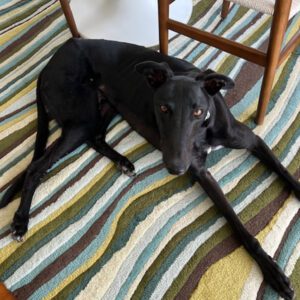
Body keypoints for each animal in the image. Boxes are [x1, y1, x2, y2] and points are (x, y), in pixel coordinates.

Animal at [1, 37, 298, 298]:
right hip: (80, 119)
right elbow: (236, 222)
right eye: (163, 108)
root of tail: (50, 62)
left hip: (103, 107)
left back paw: (123, 162)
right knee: (37, 166)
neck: (205, 131)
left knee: (96, 138)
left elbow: (283, 170)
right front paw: (272, 272)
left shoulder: (253, 140)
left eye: (198, 111)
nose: (176, 168)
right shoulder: (202, 173)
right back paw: (20, 221)